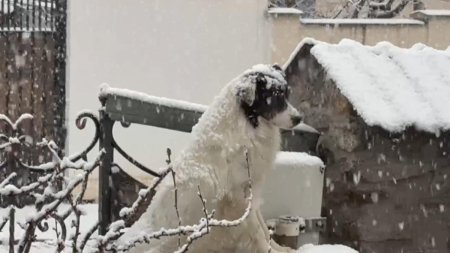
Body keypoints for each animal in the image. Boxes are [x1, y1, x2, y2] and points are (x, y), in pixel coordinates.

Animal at [124, 64, 302, 253]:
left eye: (286, 94)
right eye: (275, 96)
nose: (299, 118)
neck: (246, 124)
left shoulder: (251, 193)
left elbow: (264, 229)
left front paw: (281, 249)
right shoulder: (238, 199)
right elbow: (257, 233)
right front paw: (268, 250)